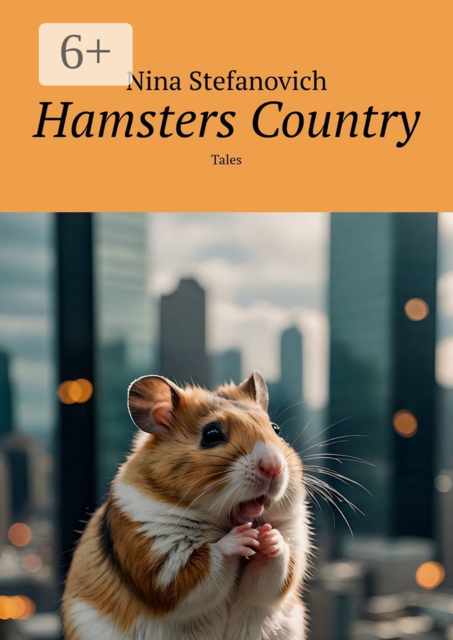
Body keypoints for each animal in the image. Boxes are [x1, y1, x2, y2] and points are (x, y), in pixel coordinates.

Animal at [62, 372, 311, 640]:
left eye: (276, 429)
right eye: (211, 435)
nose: (274, 466)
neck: (223, 521)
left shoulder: (289, 553)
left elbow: (275, 573)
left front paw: (270, 538)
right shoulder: (160, 563)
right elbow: (203, 567)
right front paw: (242, 538)